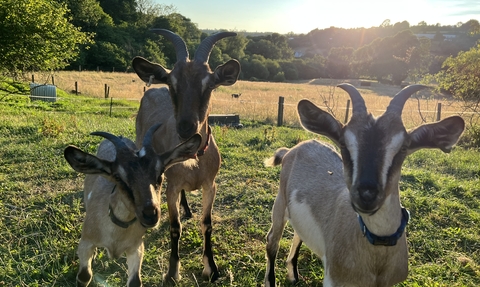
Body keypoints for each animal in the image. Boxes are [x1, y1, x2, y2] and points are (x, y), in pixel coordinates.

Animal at [63, 124, 201, 287]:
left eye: (160, 173)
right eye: (118, 177)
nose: (150, 215)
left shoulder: (136, 248)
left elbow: (135, 281)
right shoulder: (86, 242)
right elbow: (84, 276)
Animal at [131, 29, 240, 284]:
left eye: (209, 84)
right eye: (172, 83)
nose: (186, 127)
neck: (194, 160)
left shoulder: (211, 185)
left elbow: (207, 224)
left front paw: (211, 268)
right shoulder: (171, 186)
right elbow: (175, 227)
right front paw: (172, 273)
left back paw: (188, 209)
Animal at [264, 84, 464, 287]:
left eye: (403, 148)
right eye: (344, 143)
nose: (367, 195)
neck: (377, 259)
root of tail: (292, 150)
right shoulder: (334, 280)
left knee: (298, 234)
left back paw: (293, 274)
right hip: (280, 204)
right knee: (272, 240)